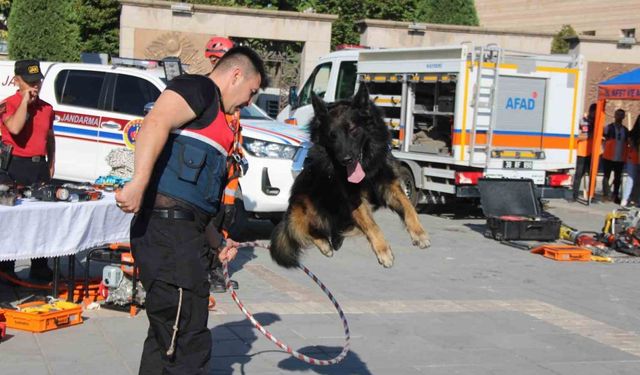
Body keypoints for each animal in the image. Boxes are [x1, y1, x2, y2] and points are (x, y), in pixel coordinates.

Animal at [270, 84, 430, 268]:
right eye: (332, 135)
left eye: (353, 129)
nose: (346, 160)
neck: (367, 167)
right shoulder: (353, 198)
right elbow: (372, 225)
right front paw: (383, 250)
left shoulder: (389, 185)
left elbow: (408, 206)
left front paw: (419, 233)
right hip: (302, 207)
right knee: (301, 231)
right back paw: (324, 244)